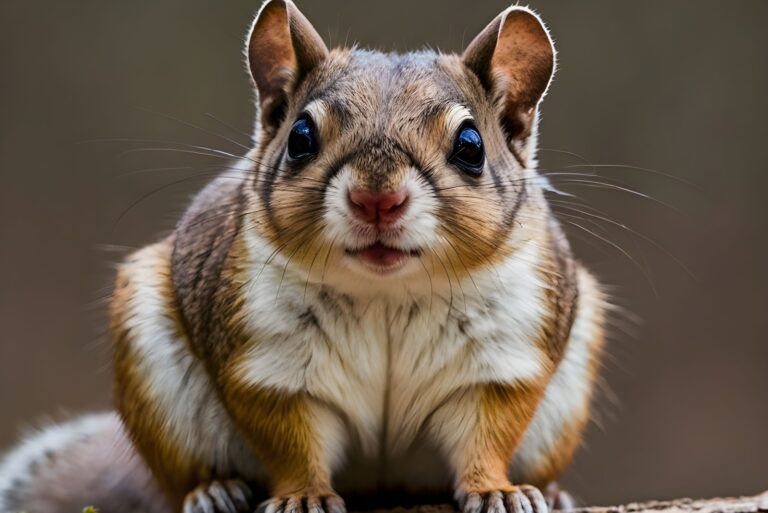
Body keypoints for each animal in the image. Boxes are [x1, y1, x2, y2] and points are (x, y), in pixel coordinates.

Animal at [0, 1, 607, 513]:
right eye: (300, 137)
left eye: (471, 146)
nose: (377, 200)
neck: (387, 291)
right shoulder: (268, 364)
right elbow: (292, 443)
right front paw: (303, 496)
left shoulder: (502, 359)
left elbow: (487, 436)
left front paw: (497, 490)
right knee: (175, 481)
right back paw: (211, 491)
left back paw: (552, 492)